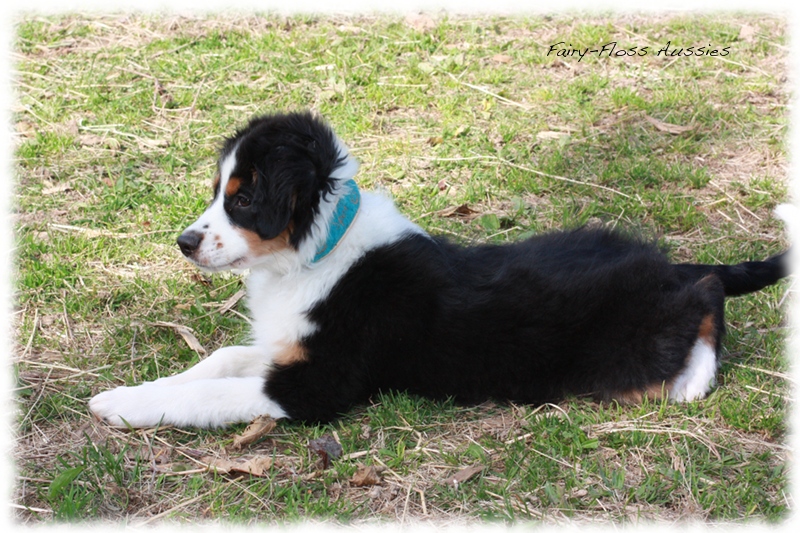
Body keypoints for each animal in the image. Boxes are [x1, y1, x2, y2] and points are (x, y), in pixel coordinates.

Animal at [87, 110, 788, 426]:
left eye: (243, 199)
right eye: (217, 191)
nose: (184, 242)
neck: (315, 251)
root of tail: (661, 262)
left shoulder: (317, 385)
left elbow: (209, 393)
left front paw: (118, 406)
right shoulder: (284, 345)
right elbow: (218, 360)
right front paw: (138, 389)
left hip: (625, 345)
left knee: (705, 293)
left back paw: (693, 378)